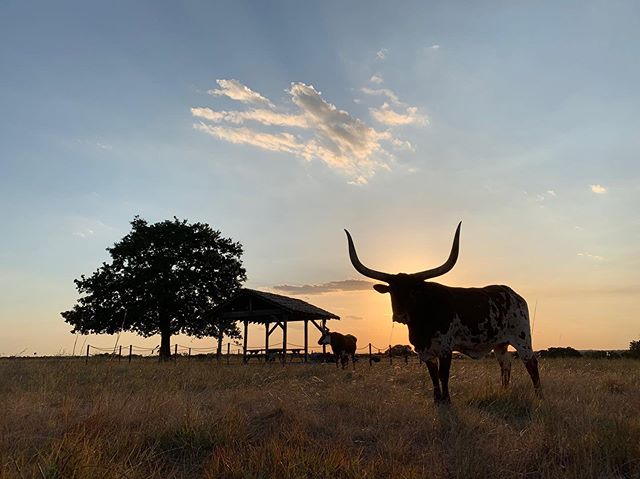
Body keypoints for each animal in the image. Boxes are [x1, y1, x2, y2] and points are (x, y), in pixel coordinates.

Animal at [344, 223, 540, 404]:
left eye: (413, 291)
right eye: (392, 291)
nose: (400, 316)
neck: (422, 321)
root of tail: (514, 295)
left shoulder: (445, 349)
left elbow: (443, 375)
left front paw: (446, 399)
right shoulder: (425, 352)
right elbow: (433, 376)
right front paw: (437, 398)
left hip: (522, 340)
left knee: (531, 363)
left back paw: (539, 395)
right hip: (500, 344)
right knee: (506, 364)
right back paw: (504, 390)